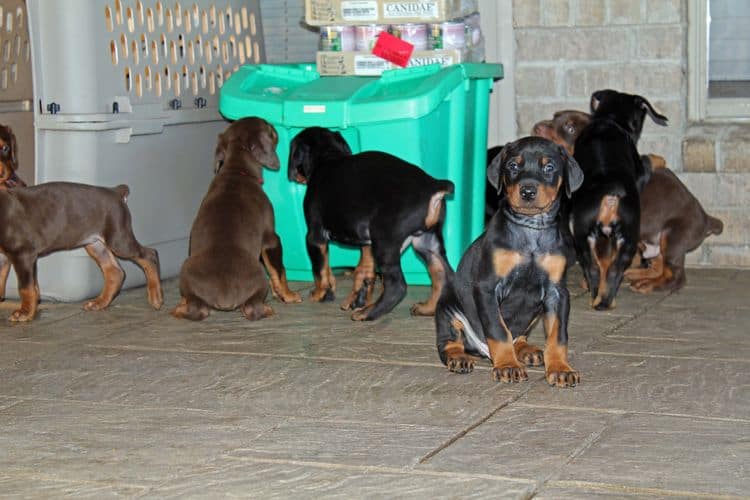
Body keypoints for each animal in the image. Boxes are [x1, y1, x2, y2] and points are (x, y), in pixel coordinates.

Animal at [0, 127, 163, 320]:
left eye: (5, 148)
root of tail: (116, 192)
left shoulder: (23, 254)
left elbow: (26, 287)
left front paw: (25, 313)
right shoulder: (3, 257)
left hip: (118, 239)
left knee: (149, 255)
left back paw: (156, 297)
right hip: (95, 243)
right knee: (115, 272)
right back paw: (99, 303)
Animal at [172, 117, 302, 320]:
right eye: (269, 128)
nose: (274, 126)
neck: (236, 171)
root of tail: (223, 295)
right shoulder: (271, 238)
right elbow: (278, 270)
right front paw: (288, 295)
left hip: (186, 269)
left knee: (197, 308)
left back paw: (180, 306)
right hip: (259, 275)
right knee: (251, 308)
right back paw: (268, 309)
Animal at [286, 125, 452, 320]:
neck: (327, 159)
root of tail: (433, 186)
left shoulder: (314, 236)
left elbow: (320, 270)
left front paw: (320, 294)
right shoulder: (366, 241)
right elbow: (364, 271)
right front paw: (357, 298)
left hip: (385, 243)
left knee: (397, 286)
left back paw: (367, 313)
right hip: (427, 243)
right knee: (442, 277)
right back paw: (427, 308)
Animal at [434, 139, 588, 388]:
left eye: (549, 167)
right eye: (513, 166)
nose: (527, 191)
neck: (531, 229)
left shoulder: (557, 292)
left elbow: (558, 336)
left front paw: (560, 368)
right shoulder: (487, 287)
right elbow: (499, 330)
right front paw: (508, 366)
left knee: (519, 335)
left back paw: (527, 350)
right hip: (448, 307)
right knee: (449, 341)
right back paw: (459, 357)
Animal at [572, 89, 672, 308]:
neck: (609, 119)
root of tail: (609, 193)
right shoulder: (640, 171)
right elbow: (647, 160)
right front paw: (658, 159)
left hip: (583, 239)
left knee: (594, 268)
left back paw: (596, 299)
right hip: (628, 238)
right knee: (615, 270)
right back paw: (607, 302)